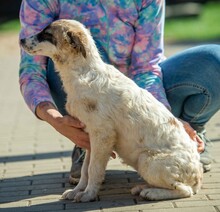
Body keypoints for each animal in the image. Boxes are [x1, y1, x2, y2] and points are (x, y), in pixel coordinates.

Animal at [20, 18, 203, 202]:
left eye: (47, 34)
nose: (21, 40)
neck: (83, 72)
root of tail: (198, 177)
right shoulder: (88, 136)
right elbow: (85, 170)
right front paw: (78, 190)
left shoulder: (102, 135)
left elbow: (93, 169)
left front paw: (88, 194)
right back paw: (144, 187)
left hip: (146, 160)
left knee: (185, 190)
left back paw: (152, 193)